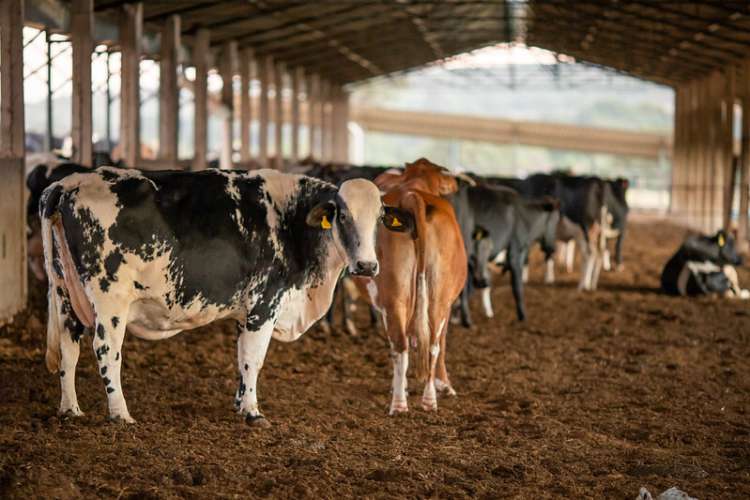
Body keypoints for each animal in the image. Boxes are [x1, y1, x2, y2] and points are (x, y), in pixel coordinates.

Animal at [42, 168, 394, 426]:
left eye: (379, 218)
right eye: (343, 216)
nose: (367, 265)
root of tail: (69, 182)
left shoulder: (246, 311)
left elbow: (242, 358)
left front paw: (240, 402)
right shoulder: (264, 304)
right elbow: (254, 357)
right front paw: (253, 412)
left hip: (65, 294)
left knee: (69, 349)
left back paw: (70, 409)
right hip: (110, 298)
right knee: (106, 350)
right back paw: (120, 414)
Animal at [356, 159, 468, 414]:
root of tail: (412, 196)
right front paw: (445, 385)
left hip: (398, 296)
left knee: (405, 344)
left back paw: (403, 401)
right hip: (434, 295)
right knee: (428, 344)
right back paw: (421, 400)